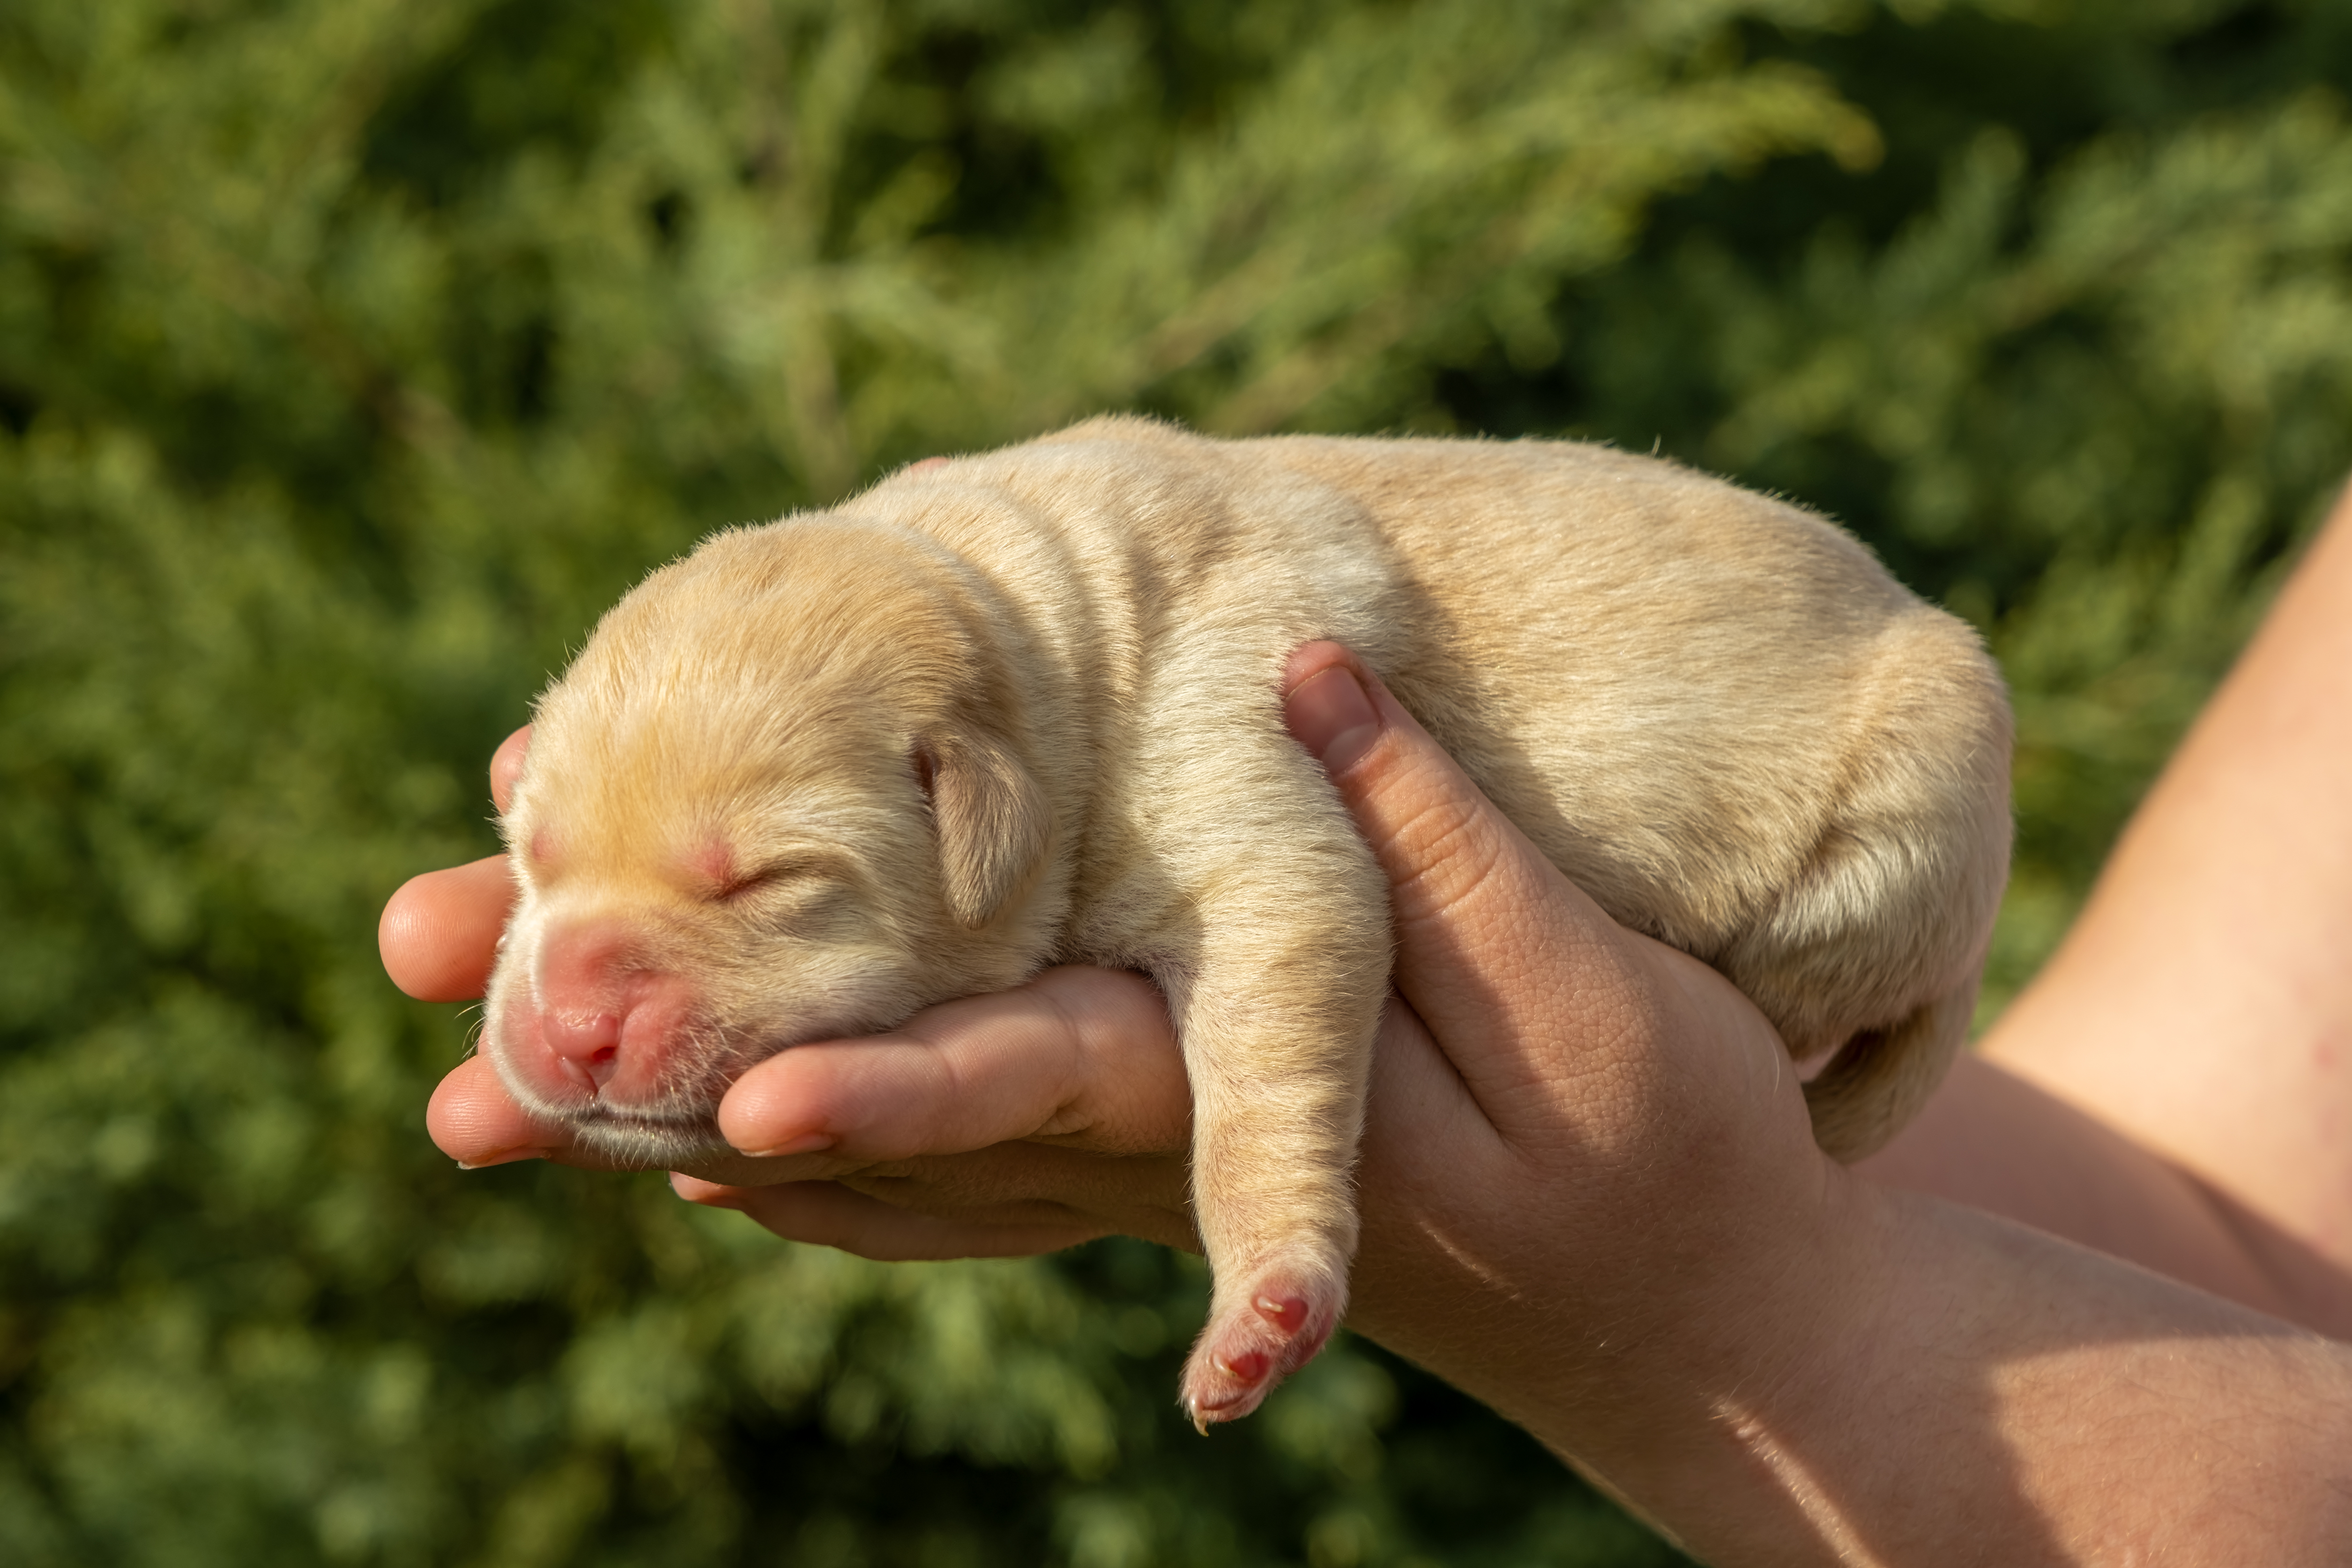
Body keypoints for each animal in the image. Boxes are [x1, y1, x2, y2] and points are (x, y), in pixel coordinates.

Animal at [487, 416, 2013, 1439]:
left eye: (765, 881)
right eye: (533, 853)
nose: (568, 1026)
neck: (1047, 634)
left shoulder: (1250, 807)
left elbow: (1266, 1056)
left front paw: (1262, 1309)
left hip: (1902, 813)